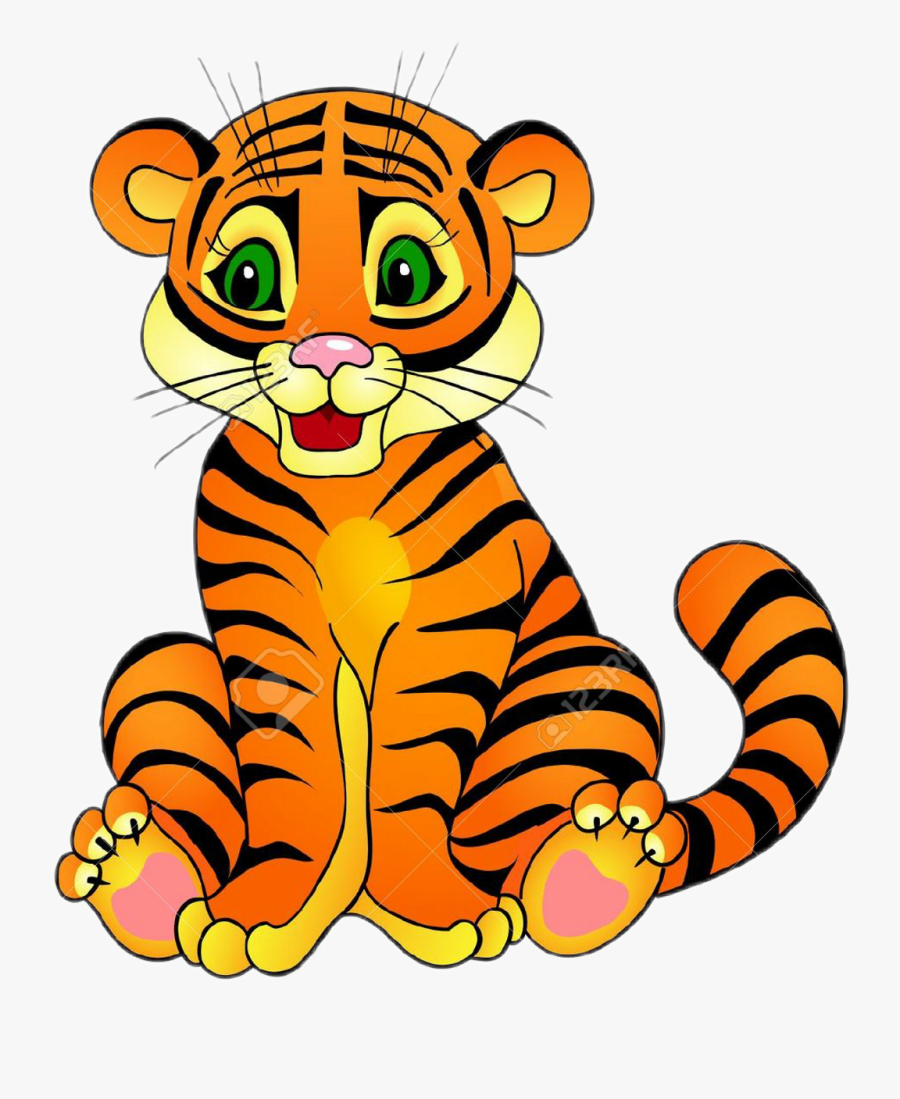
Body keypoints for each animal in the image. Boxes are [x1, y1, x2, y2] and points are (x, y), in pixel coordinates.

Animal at [56, 79, 846, 976]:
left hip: (582, 685)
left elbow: (407, 767)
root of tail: (355, 913)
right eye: (250, 278)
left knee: (527, 847)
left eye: (406, 274)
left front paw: (435, 904)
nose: (328, 354)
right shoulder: (264, 618)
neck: (346, 491)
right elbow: (294, 778)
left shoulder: (452, 613)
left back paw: (592, 870)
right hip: (161, 670)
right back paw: (134, 869)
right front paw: (260, 905)